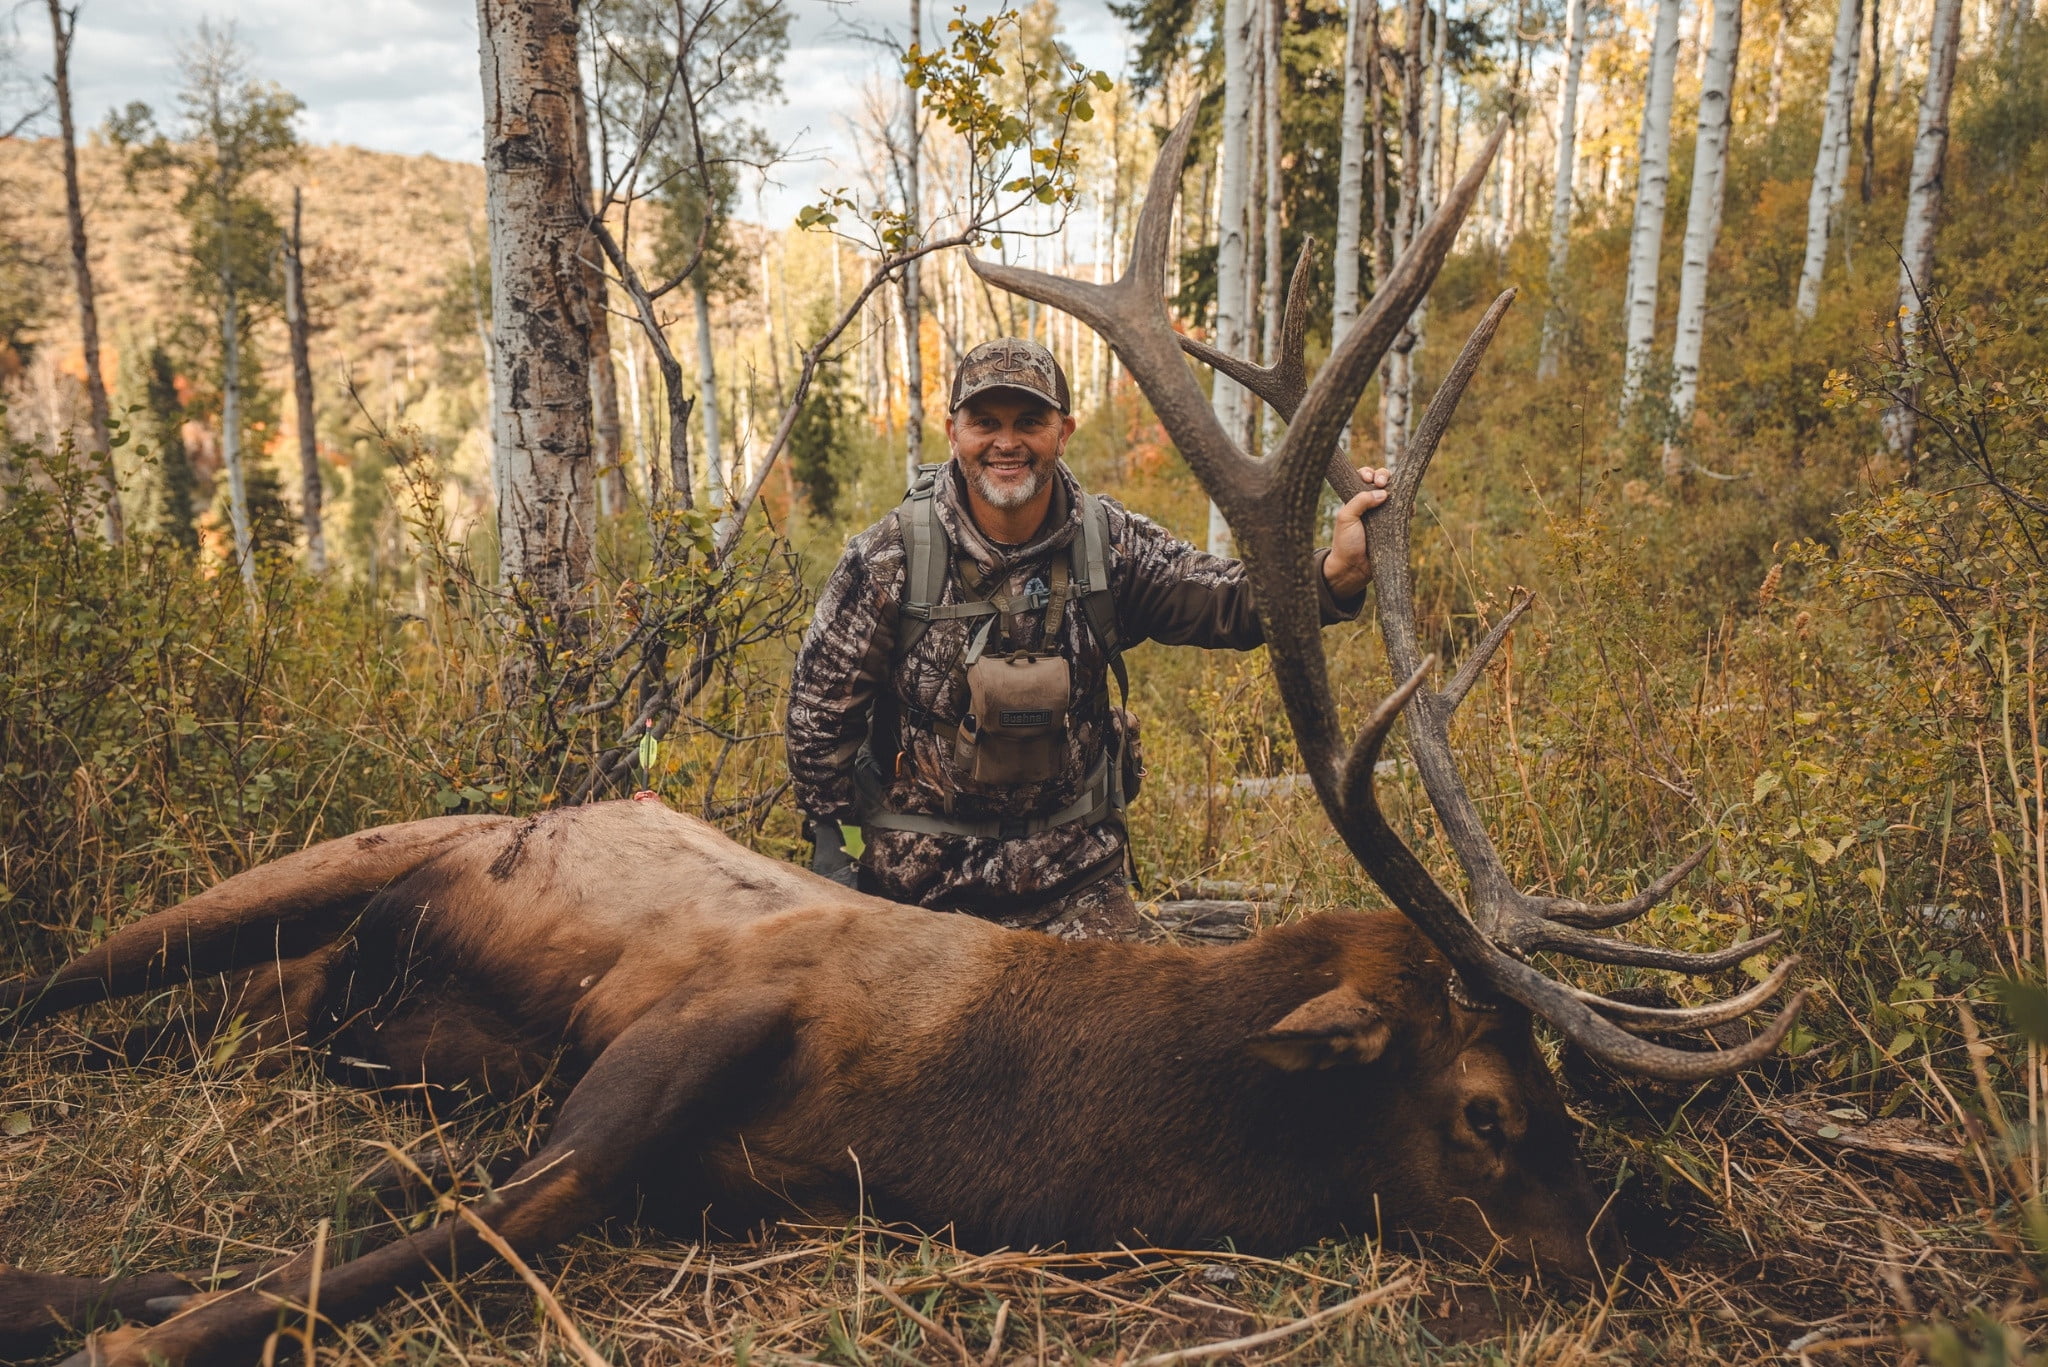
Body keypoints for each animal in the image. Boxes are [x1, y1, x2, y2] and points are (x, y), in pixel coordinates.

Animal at [0, 108, 1802, 1367]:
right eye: (1492, 1108)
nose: (1635, 1253)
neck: (947, 1107)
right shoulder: (686, 1028)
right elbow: (466, 1225)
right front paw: (136, 1314)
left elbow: (429, 1205)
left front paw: (114, 1286)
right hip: (337, 858)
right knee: (58, 982)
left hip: (305, 986)